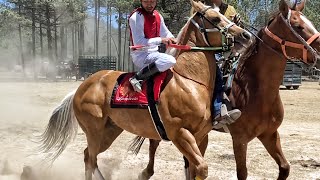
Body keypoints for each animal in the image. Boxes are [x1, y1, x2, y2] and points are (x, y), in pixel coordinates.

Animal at [38, 0, 252, 179]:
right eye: (215, 18)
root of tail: (81, 87)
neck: (188, 82)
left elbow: (193, 170)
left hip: (109, 131)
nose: (246, 35)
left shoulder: (200, 137)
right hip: (94, 131)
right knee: (90, 159)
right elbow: (201, 168)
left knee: (88, 156)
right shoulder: (180, 133)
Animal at [130, 0, 320, 179]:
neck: (255, 88)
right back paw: (146, 172)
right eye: (298, 26)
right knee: (154, 143)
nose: (318, 52)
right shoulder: (240, 139)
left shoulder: (270, 134)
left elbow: (285, 168)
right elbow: (242, 173)